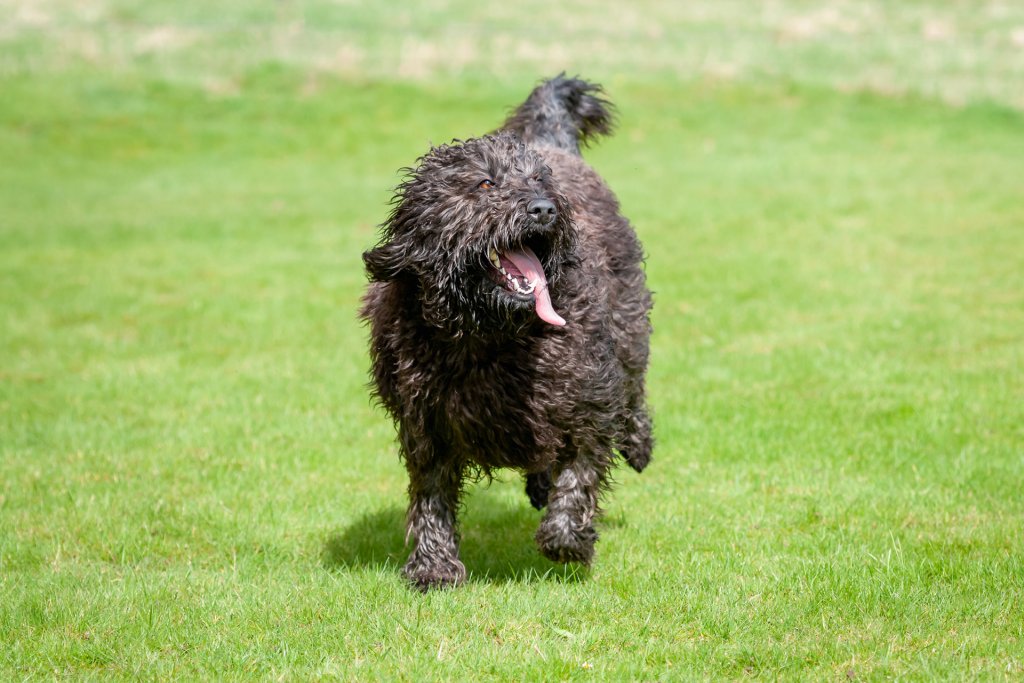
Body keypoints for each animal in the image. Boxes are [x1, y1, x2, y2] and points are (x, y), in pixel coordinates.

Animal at [360, 73, 651, 589]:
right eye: (485, 183)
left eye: (538, 180)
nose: (544, 209)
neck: (487, 338)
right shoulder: (426, 423)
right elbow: (431, 496)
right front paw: (434, 567)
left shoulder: (588, 400)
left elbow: (581, 472)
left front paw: (566, 538)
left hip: (629, 319)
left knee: (634, 382)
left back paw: (636, 442)